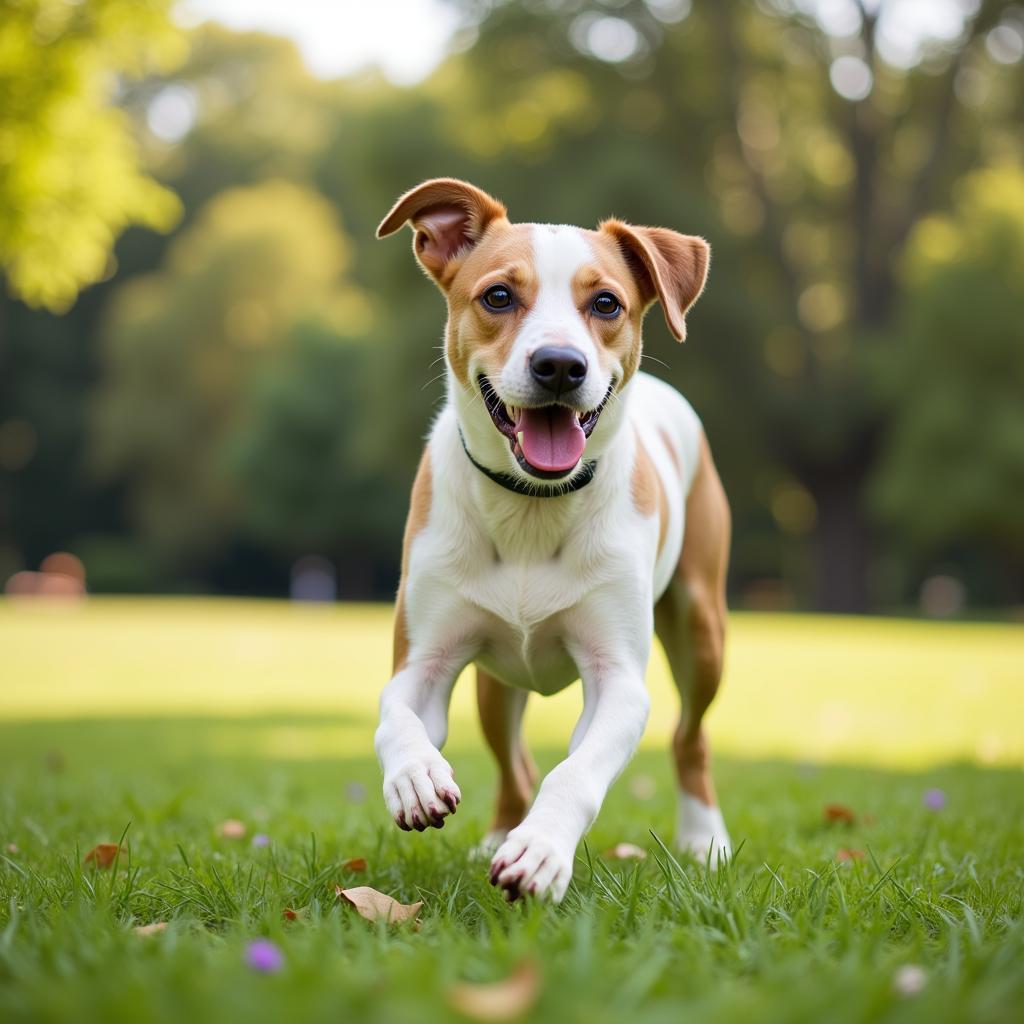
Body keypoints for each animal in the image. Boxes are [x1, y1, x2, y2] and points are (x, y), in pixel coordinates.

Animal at [372, 180, 733, 901]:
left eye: (607, 303)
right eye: (498, 296)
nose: (561, 365)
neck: (531, 507)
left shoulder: (618, 676)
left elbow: (577, 770)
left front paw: (540, 849)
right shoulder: (424, 655)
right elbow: (396, 711)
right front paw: (416, 777)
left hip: (702, 626)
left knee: (690, 737)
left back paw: (705, 840)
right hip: (495, 682)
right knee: (513, 760)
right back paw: (495, 830)